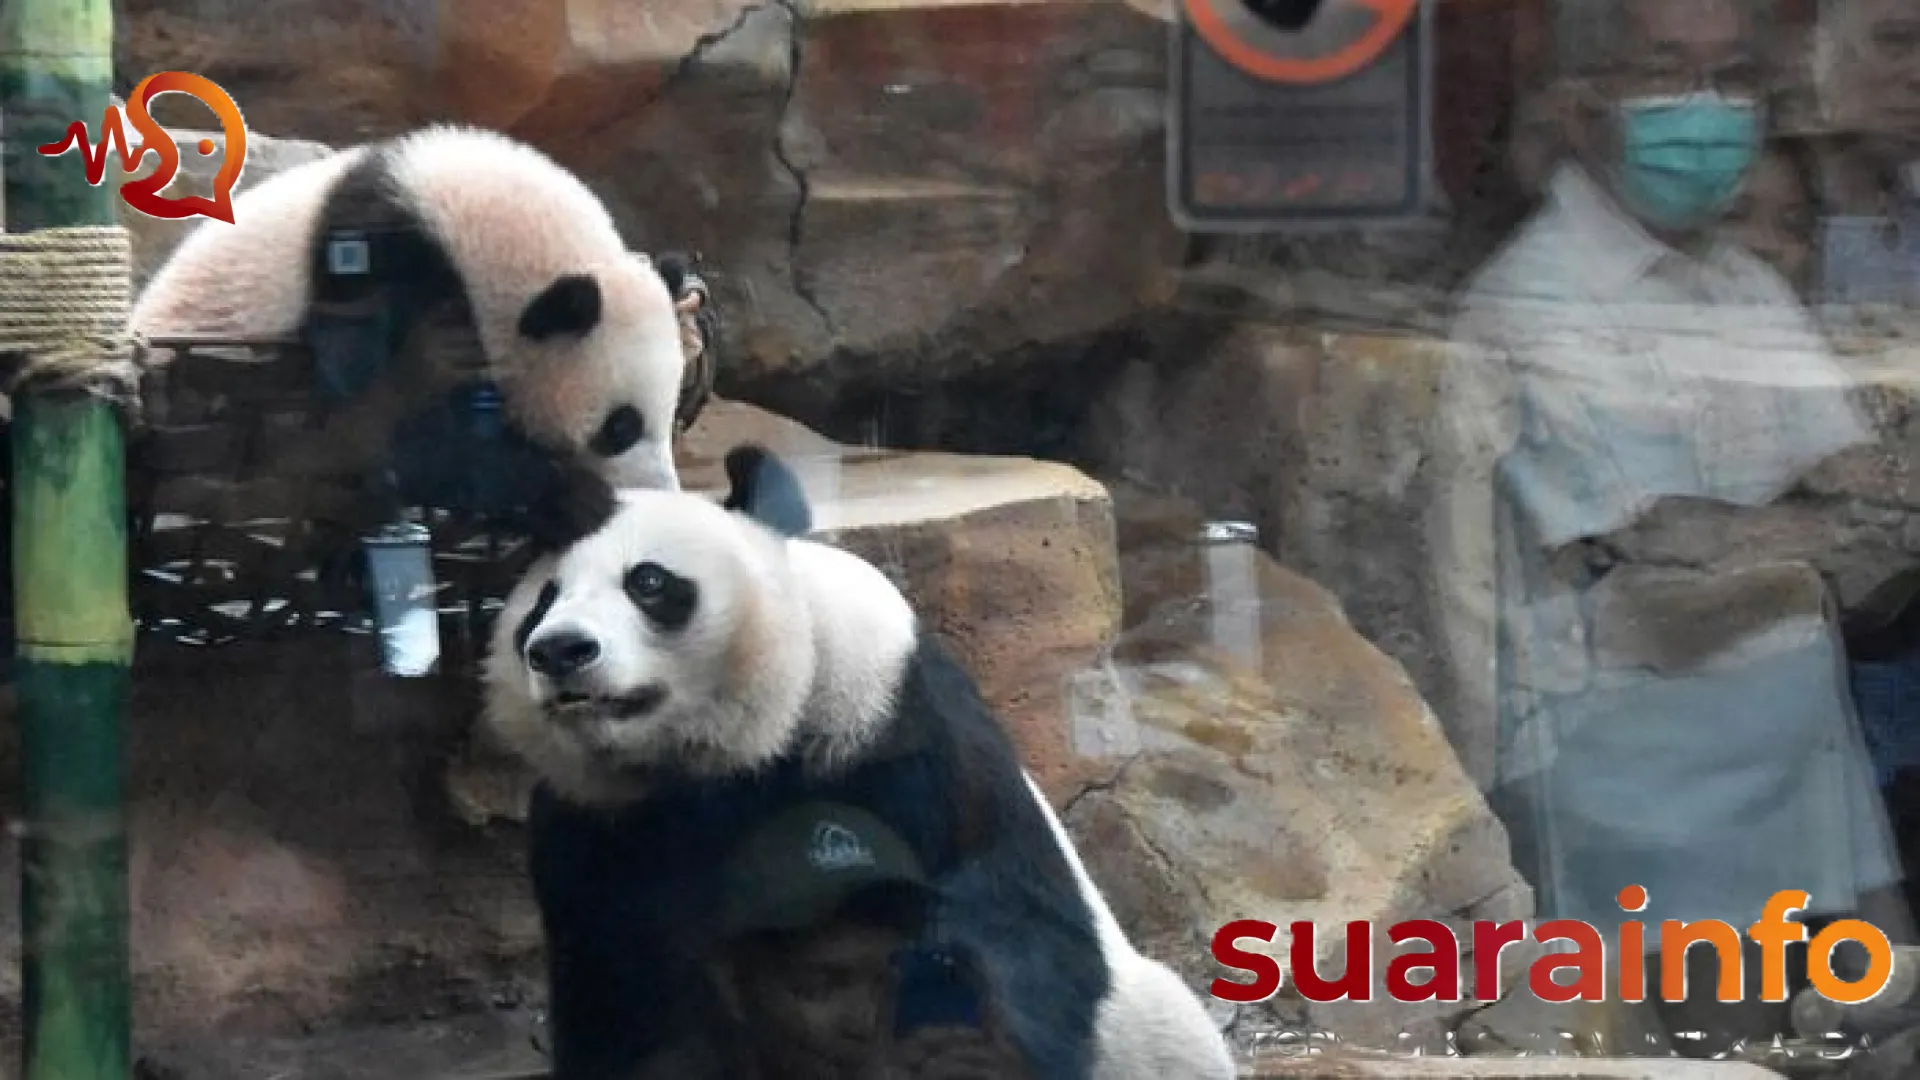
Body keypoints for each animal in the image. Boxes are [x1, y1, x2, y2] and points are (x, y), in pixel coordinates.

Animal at [131, 124, 701, 527]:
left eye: (671, 415)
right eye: (620, 427)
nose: (660, 492)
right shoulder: (382, 267)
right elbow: (392, 427)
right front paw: (574, 496)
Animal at [482, 445, 1238, 1080]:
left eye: (648, 581)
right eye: (542, 602)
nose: (560, 650)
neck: (715, 762)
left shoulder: (897, 742)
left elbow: (1004, 942)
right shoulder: (596, 836)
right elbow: (629, 1003)